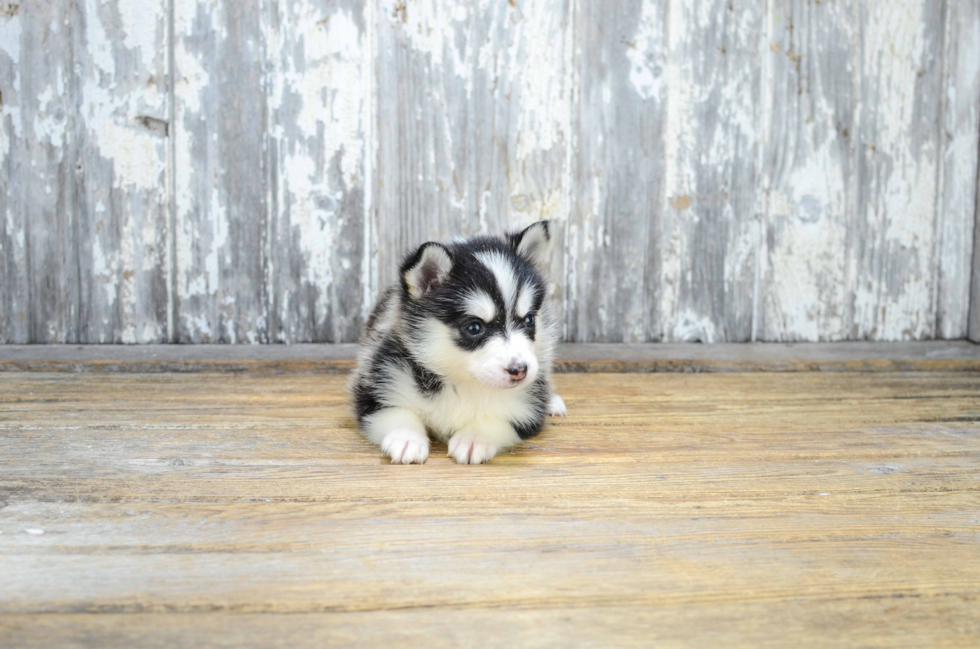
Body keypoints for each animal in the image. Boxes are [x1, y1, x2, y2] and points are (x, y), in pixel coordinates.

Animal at [350, 220, 568, 464]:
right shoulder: (377, 385)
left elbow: (500, 419)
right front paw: (406, 438)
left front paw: (475, 438)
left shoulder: (528, 410)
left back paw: (553, 401)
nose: (519, 370)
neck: (462, 382)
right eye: (474, 327)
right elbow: (397, 412)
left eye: (529, 319)